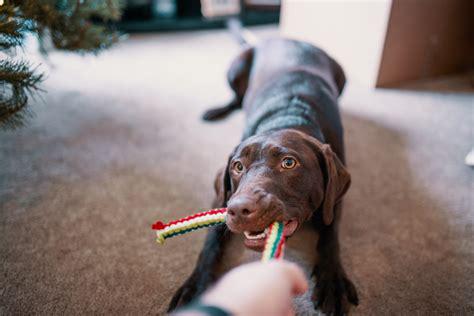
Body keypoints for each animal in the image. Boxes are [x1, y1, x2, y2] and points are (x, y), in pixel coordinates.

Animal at [168, 38, 358, 314]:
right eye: (238, 166)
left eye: (289, 163)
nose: (239, 209)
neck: (288, 117)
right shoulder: (223, 197)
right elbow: (210, 242)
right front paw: (195, 285)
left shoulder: (334, 199)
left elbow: (330, 234)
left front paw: (332, 279)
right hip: (236, 67)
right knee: (237, 99)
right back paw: (216, 111)